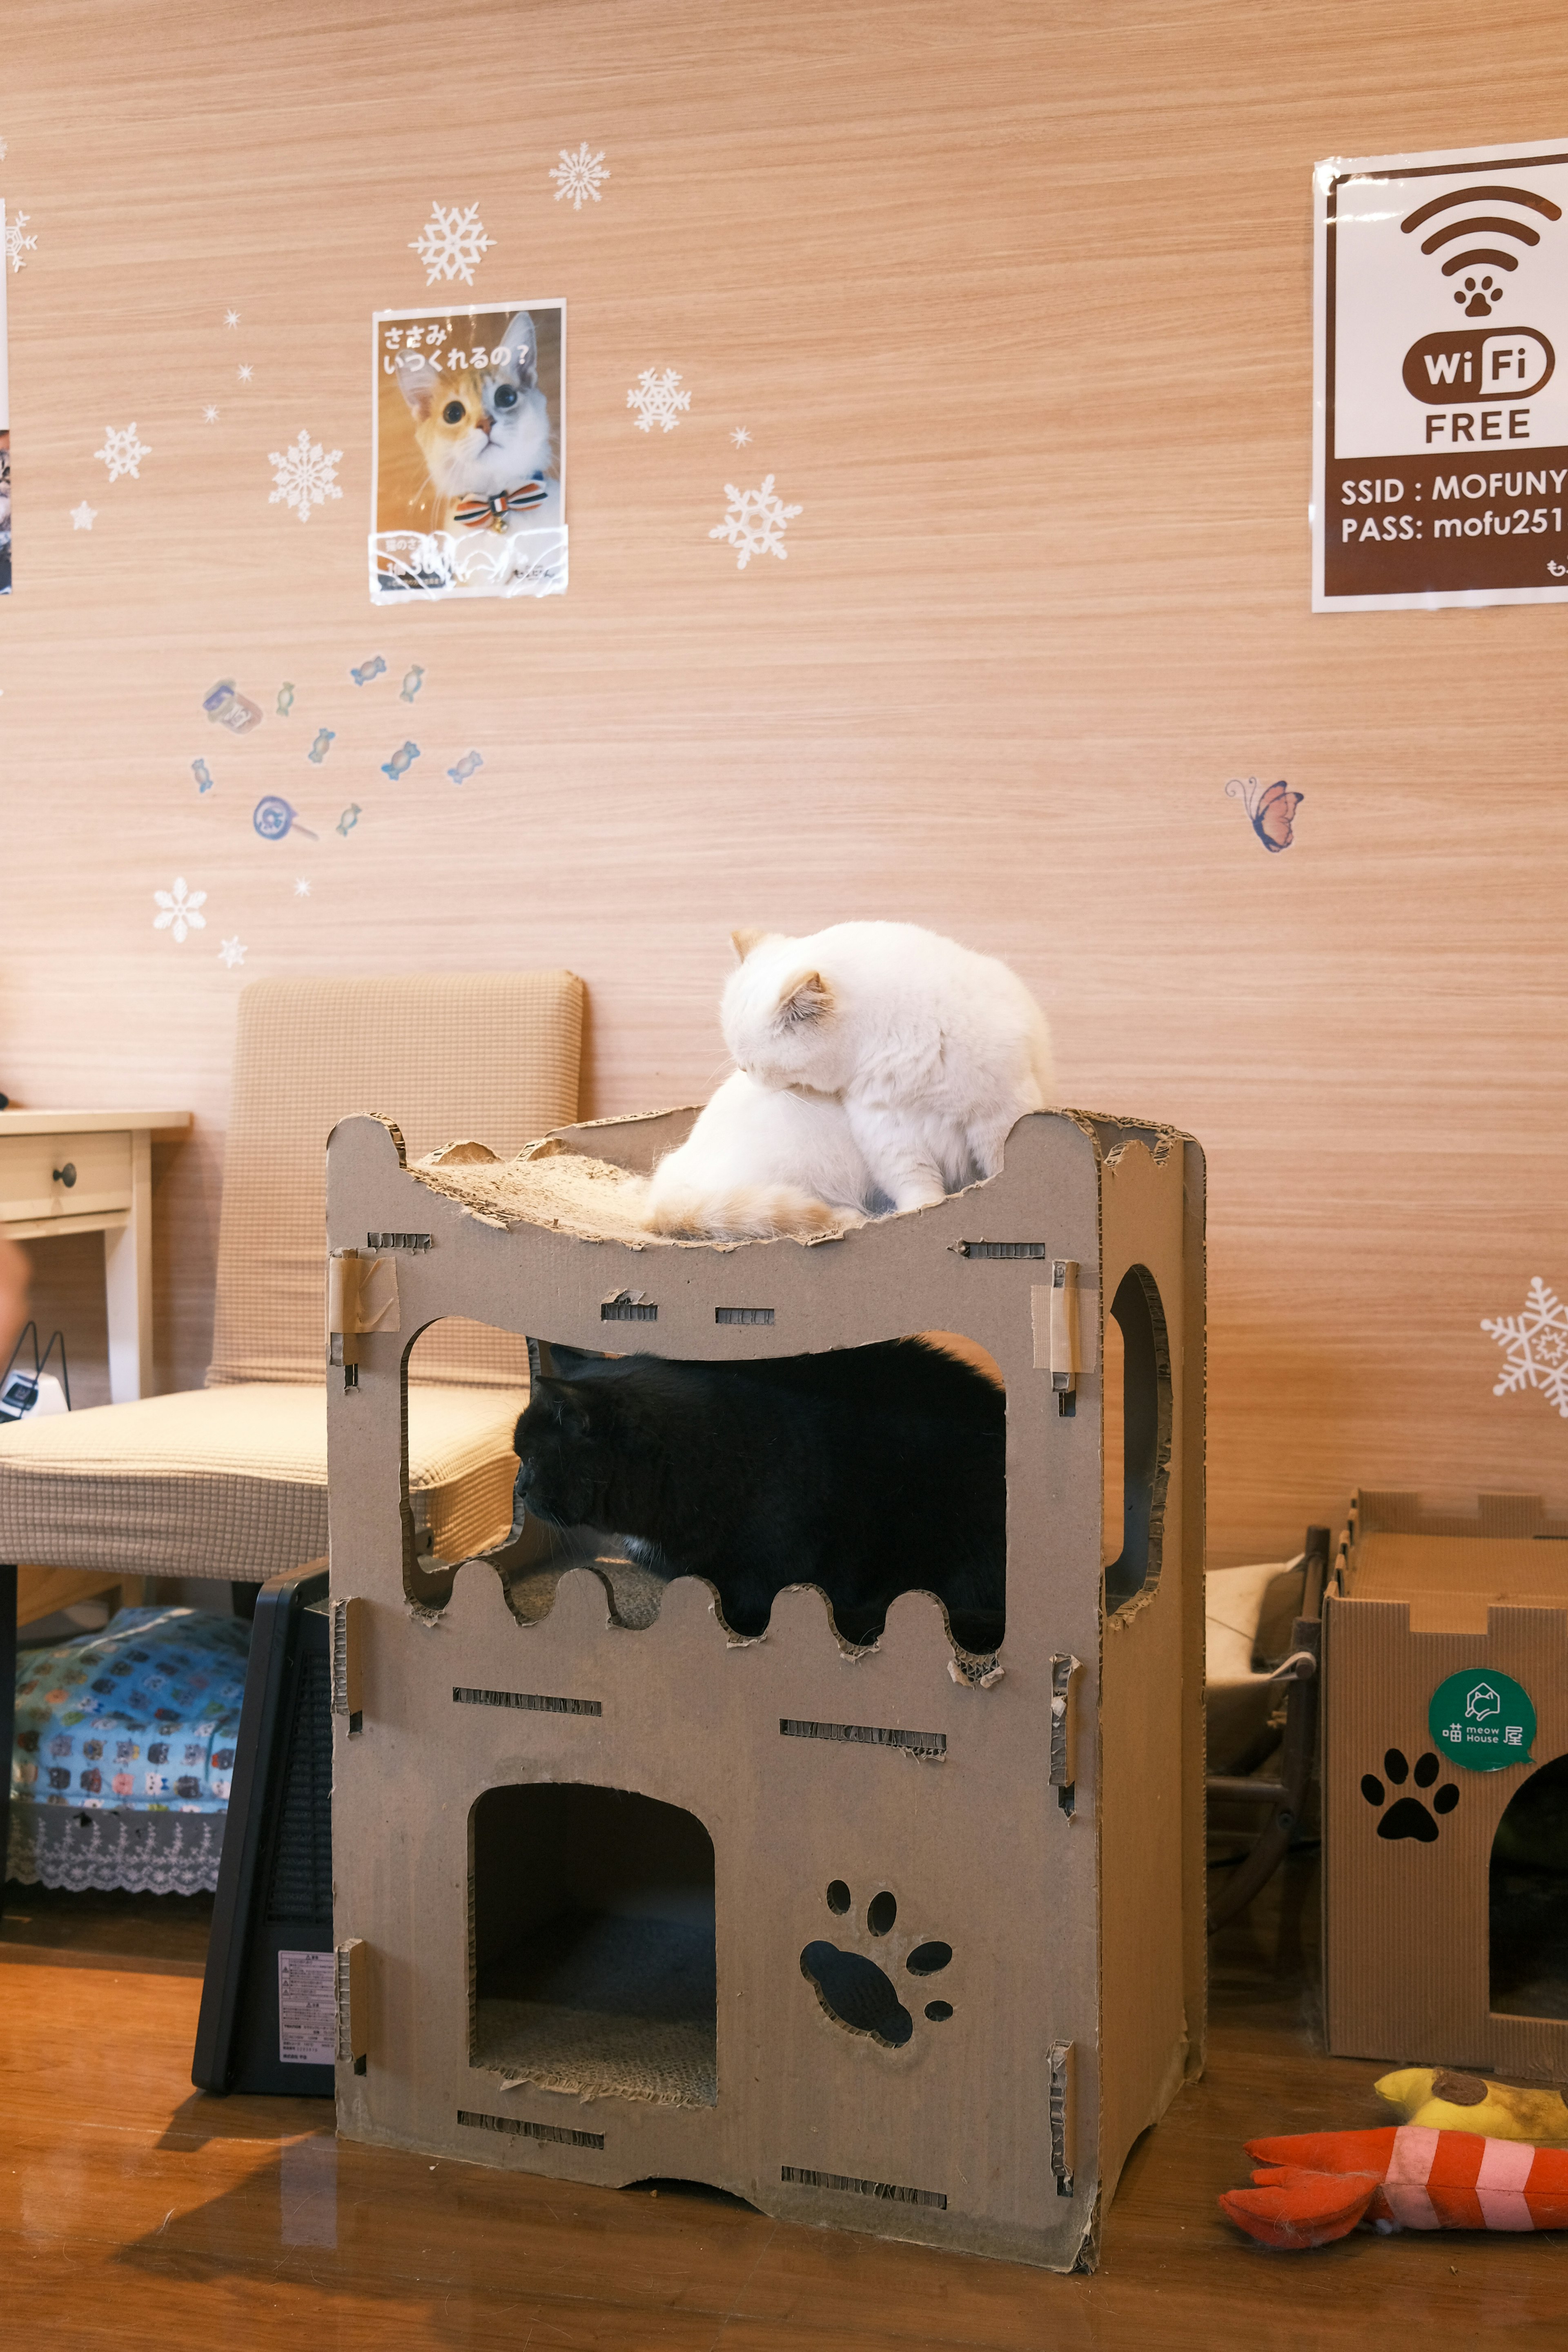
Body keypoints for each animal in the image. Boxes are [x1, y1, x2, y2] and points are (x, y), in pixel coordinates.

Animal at [644, 922, 1062, 1251]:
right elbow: (920, 1189)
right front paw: (919, 1216)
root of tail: (660, 1193)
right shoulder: (889, 1132)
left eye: (752, 1066)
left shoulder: (997, 1118)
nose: (747, 1075)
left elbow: (996, 1169)